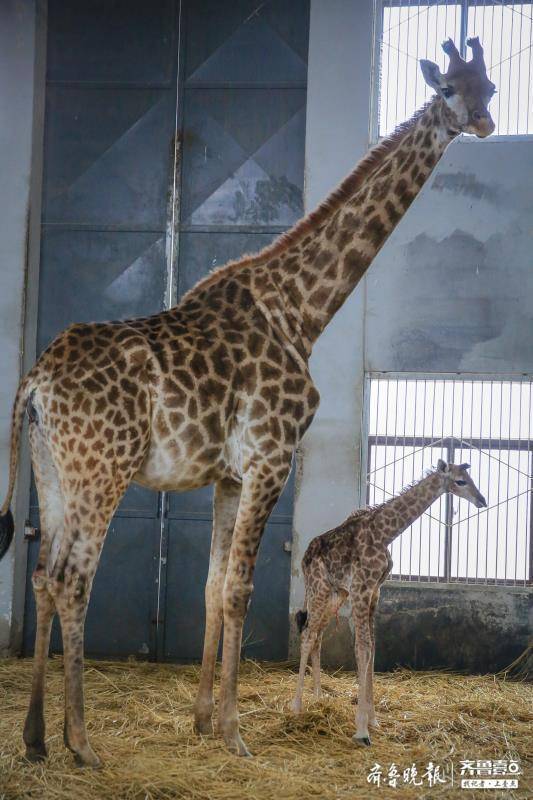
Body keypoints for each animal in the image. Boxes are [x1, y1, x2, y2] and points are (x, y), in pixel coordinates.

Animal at [294, 460, 484, 748]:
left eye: (471, 478)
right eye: (460, 481)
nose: (482, 500)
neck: (385, 533)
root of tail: (305, 556)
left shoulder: (374, 592)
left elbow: (372, 649)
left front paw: (373, 720)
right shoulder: (361, 589)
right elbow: (362, 649)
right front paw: (362, 730)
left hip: (335, 594)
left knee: (316, 636)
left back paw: (317, 699)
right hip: (319, 588)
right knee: (306, 634)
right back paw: (296, 707)